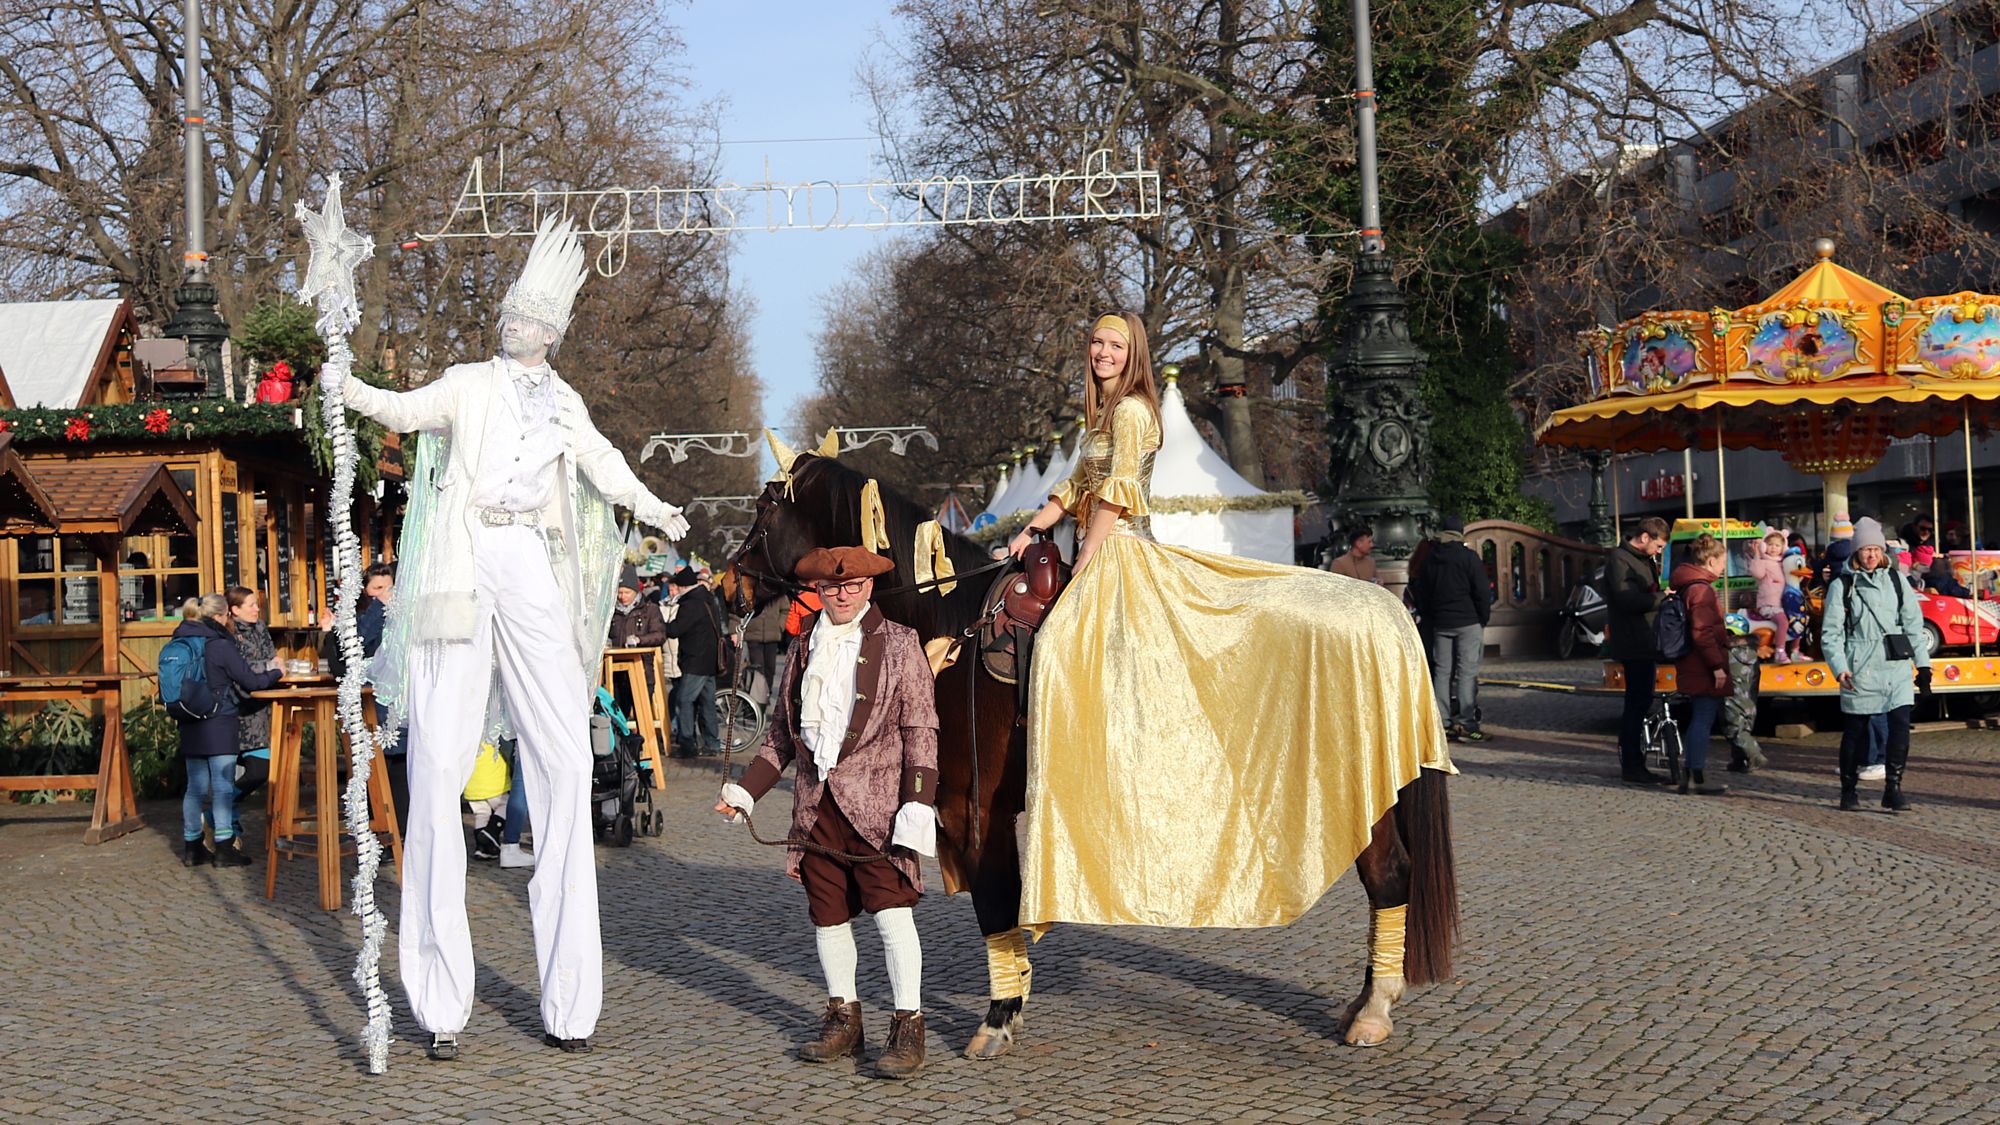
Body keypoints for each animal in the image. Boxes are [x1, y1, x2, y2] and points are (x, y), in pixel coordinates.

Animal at [728, 446, 1464, 1048]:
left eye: (762, 509)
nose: (726, 581)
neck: (950, 624)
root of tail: (1388, 608)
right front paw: (1014, 994)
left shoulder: (974, 809)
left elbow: (997, 900)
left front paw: (999, 1016)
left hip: (1361, 790)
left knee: (1390, 874)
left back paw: (1373, 1010)